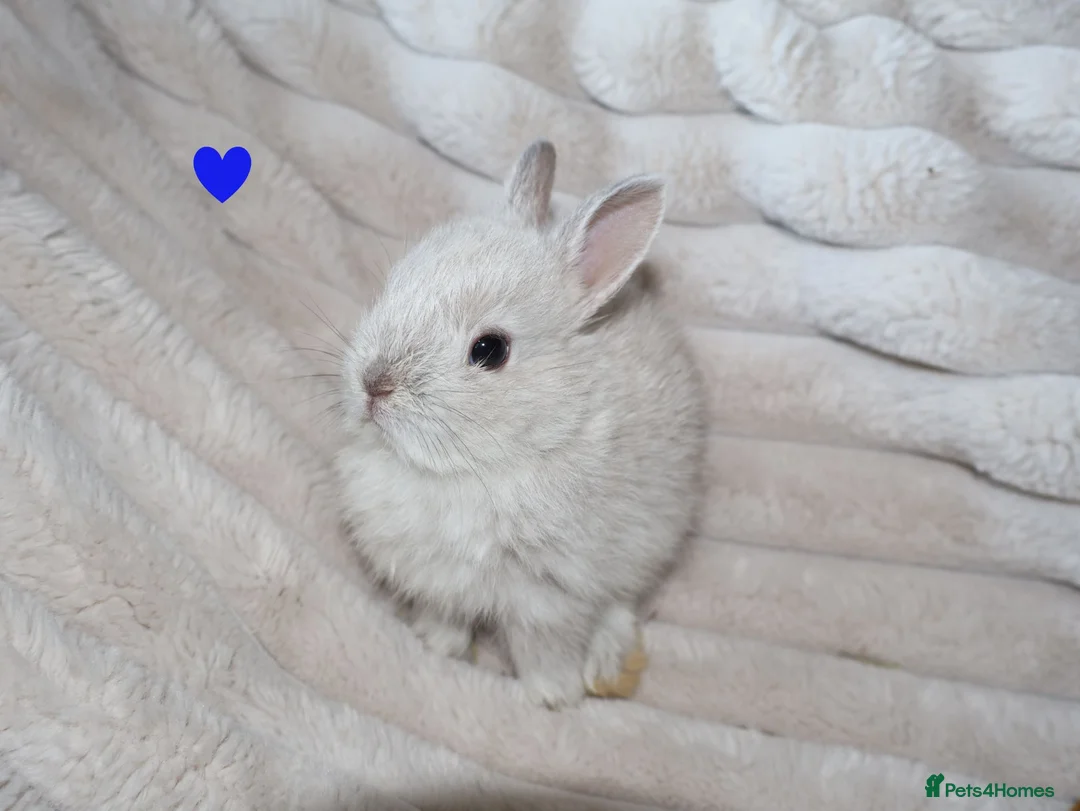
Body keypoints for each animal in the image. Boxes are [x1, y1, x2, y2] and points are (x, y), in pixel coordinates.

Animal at [334, 140, 706, 709]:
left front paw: (553, 697)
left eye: (490, 350)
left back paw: (608, 669)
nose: (373, 385)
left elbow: (544, 647)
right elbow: (446, 616)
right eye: (392, 286)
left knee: (623, 604)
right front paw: (437, 646)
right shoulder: (439, 582)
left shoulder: (549, 597)